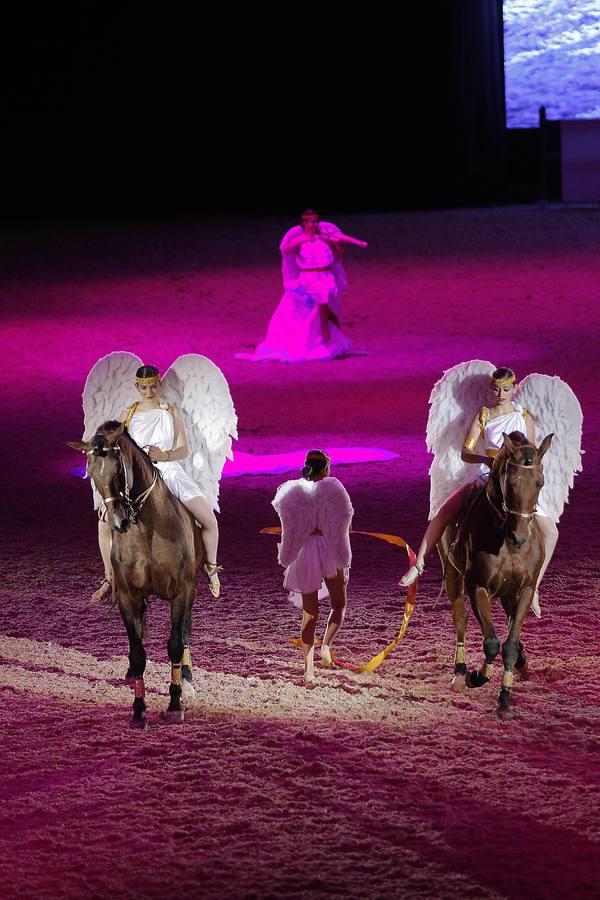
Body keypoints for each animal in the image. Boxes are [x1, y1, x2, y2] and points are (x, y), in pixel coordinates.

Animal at [70, 420, 204, 724]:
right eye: (91, 473)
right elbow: (137, 652)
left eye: (118, 469)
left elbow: (175, 643)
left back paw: (187, 679)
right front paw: (138, 708)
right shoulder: (128, 596)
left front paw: (175, 703)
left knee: (185, 633)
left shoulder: (181, 592)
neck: (145, 531)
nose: (118, 522)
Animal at [440, 428, 552, 716]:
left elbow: (510, 645)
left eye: (540, 483)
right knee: (460, 618)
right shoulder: (478, 587)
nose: (520, 537)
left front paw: (505, 697)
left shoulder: (524, 590)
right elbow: (491, 642)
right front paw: (477, 676)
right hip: (453, 575)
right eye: (510, 483)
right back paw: (460, 673)